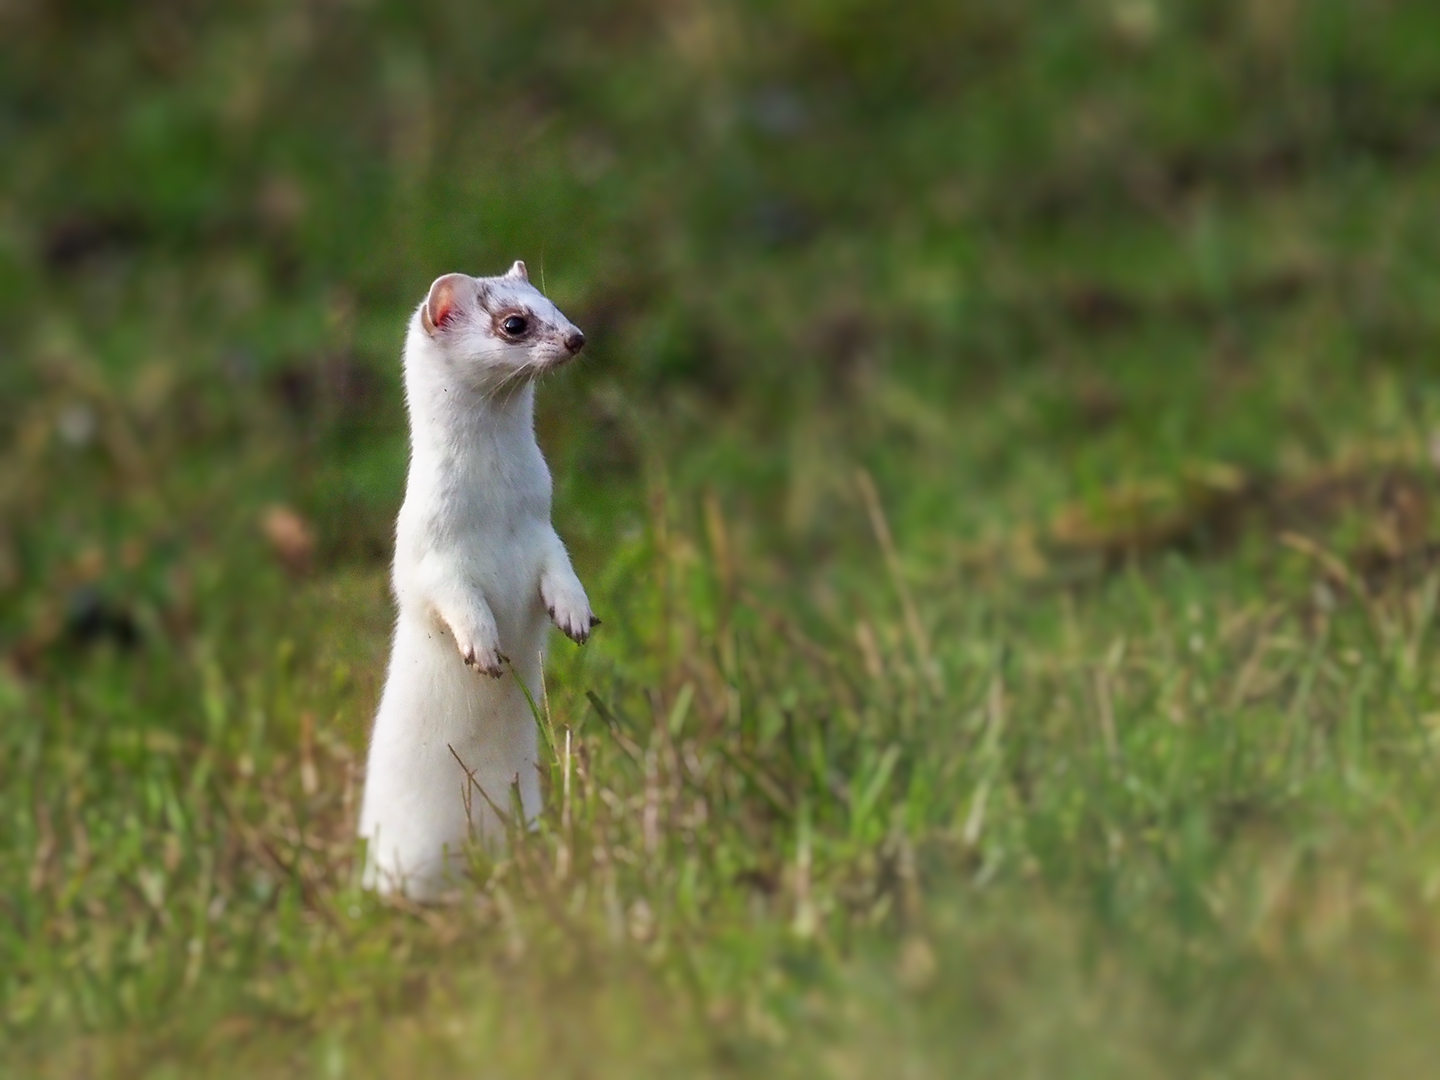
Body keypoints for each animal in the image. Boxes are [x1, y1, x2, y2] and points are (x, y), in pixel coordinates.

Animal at [362, 264, 593, 904]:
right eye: (514, 322)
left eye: (551, 302)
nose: (577, 338)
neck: (496, 509)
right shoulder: (430, 556)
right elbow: (454, 599)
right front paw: (484, 645)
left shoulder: (542, 529)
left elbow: (561, 570)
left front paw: (574, 612)